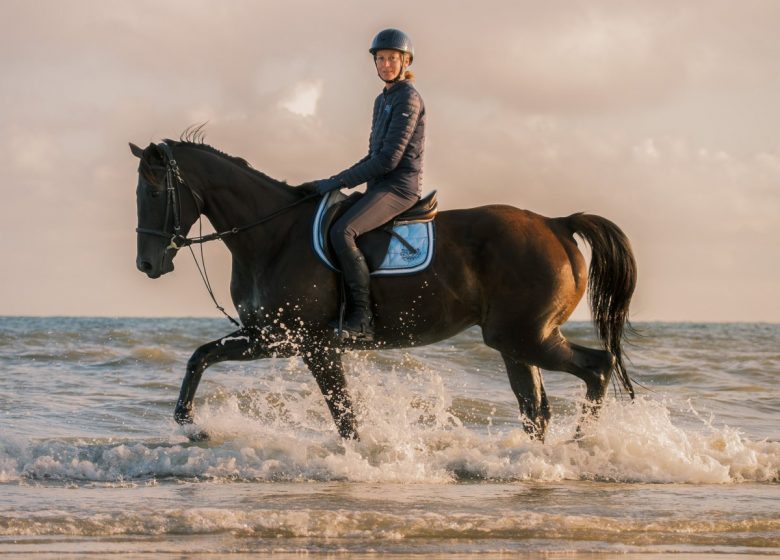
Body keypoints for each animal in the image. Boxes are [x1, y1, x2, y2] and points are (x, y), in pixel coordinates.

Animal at [130, 136, 637, 442]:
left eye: (153, 193)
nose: (147, 264)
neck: (273, 236)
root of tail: (557, 223)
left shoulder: (311, 344)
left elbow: (345, 417)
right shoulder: (272, 338)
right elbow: (199, 357)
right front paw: (192, 426)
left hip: (527, 336)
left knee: (597, 367)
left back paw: (581, 444)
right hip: (515, 342)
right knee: (536, 408)